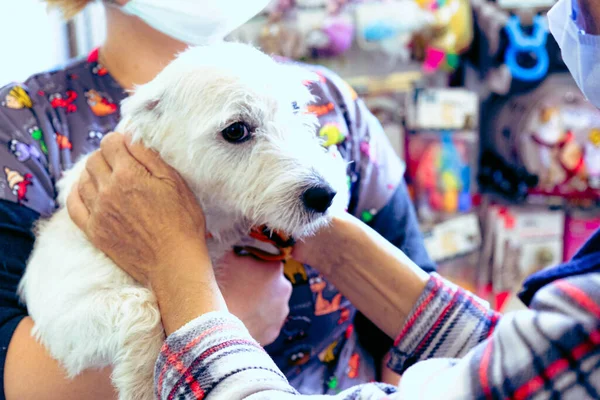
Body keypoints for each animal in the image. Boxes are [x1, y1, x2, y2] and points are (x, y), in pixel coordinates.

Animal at [18, 43, 346, 400]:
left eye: (296, 108)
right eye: (236, 130)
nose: (326, 195)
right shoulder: (62, 311)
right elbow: (144, 306)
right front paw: (142, 383)